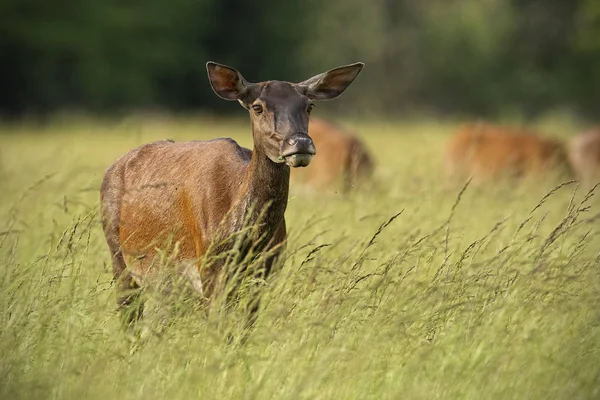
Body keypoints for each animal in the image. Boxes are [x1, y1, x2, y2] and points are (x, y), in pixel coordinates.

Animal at [100, 59, 364, 322]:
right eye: (257, 107)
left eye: (309, 106)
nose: (299, 143)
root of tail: (114, 167)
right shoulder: (208, 266)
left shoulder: (264, 271)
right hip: (119, 257)